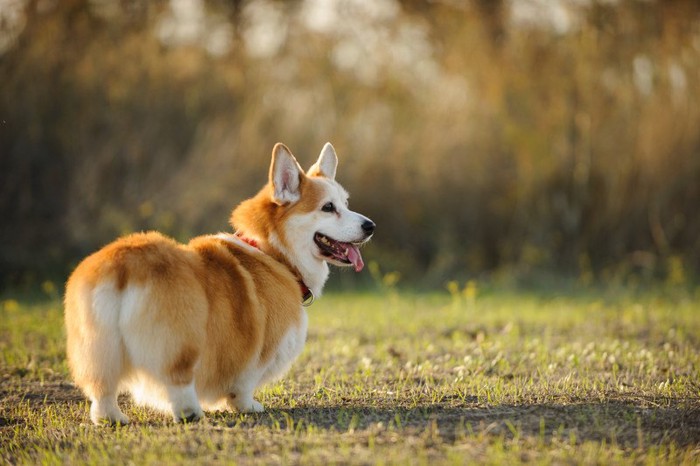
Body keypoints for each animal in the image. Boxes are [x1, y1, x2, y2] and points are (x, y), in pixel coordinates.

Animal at [63, 141, 374, 422]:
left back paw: (112, 418)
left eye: (346, 204)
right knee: (178, 381)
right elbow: (244, 383)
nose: (370, 226)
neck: (273, 251)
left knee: (102, 389)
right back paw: (190, 412)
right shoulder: (259, 350)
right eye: (328, 207)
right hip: (181, 340)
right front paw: (247, 406)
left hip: (98, 345)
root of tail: (125, 264)